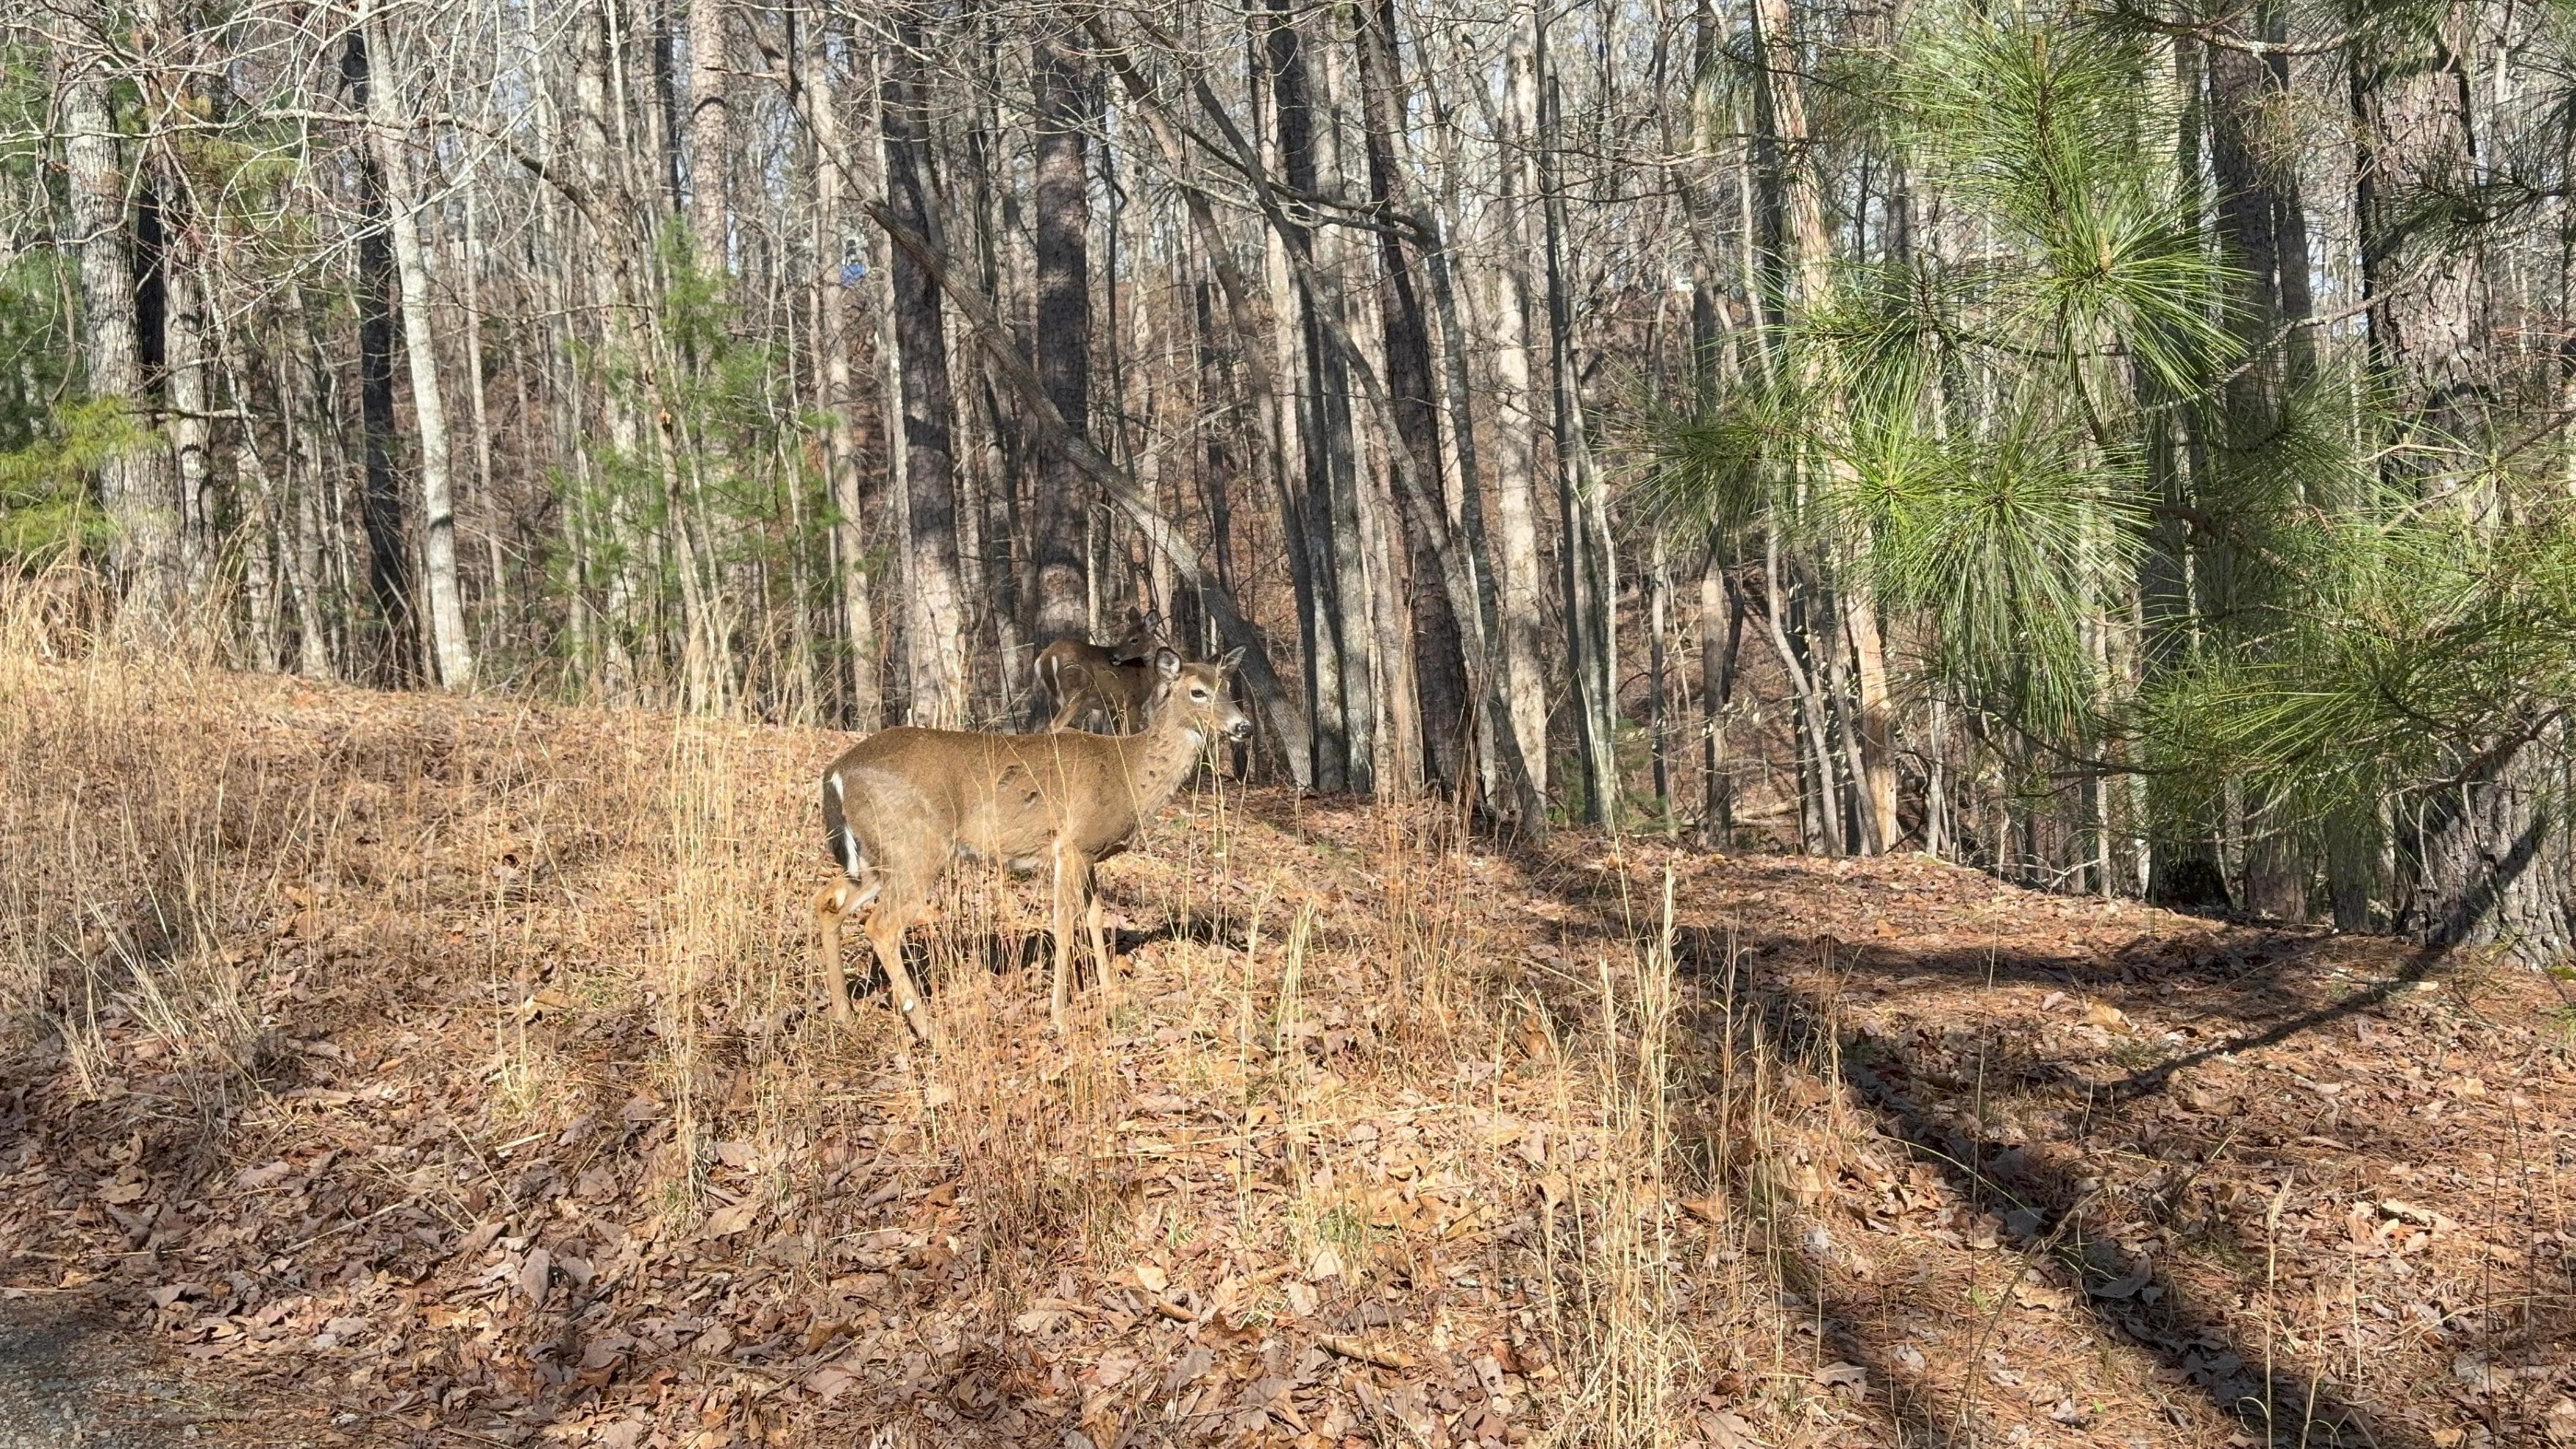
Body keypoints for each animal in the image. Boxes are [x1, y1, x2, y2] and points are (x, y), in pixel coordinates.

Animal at [813, 646, 1250, 1040]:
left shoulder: (1089, 853)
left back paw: (843, 1013)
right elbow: (1063, 924)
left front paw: (1112, 994)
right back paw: (929, 1029)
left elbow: (1096, 917)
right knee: (881, 925)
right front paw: (1059, 1018)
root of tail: (836, 772)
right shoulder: (1071, 845)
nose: (1243, 726)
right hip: (916, 844)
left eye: (1228, 686)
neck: (1128, 774)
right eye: (1198, 691)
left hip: (874, 856)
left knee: (828, 902)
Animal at [1031, 609, 1164, 734]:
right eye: (1124, 637)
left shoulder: (1114, 706)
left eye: (1134, 640)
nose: (1113, 657)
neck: (1147, 673)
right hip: (1077, 690)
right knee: (1053, 727)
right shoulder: (1132, 701)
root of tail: (1047, 656)